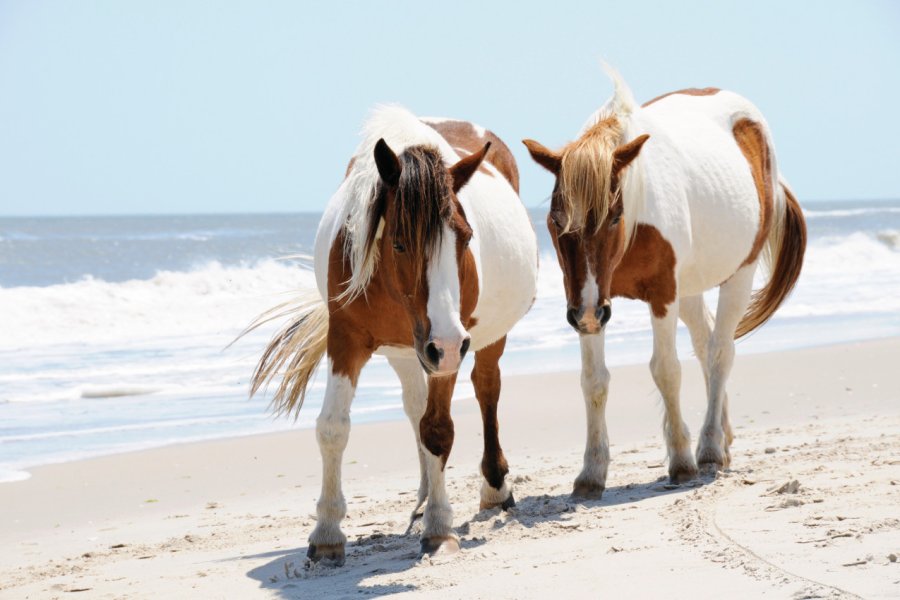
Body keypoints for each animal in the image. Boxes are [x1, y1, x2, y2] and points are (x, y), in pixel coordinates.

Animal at [244, 108, 536, 564]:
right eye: (399, 243)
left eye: (466, 238)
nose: (447, 344)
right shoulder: (347, 340)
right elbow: (333, 427)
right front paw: (326, 533)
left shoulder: (447, 348)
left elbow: (438, 429)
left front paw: (439, 528)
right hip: (410, 352)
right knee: (415, 407)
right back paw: (425, 492)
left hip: (480, 339)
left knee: (487, 388)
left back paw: (493, 487)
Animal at [520, 68, 808, 496]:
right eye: (557, 220)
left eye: (613, 216)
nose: (585, 314)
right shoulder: (590, 302)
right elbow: (594, 381)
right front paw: (592, 472)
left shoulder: (660, 295)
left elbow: (666, 370)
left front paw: (682, 460)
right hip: (687, 288)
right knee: (705, 344)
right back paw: (722, 436)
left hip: (738, 275)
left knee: (720, 352)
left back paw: (709, 449)